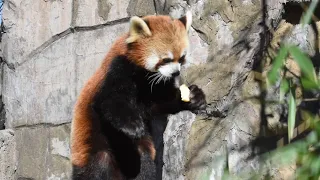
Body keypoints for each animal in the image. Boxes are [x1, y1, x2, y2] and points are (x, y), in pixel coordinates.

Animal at [70, 11, 206, 180]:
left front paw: (193, 97)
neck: (144, 75)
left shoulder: (154, 87)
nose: (176, 73)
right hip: (90, 141)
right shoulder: (117, 69)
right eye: (166, 59)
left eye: (181, 58)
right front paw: (132, 126)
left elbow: (159, 103)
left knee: (144, 160)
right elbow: (111, 103)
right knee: (97, 166)